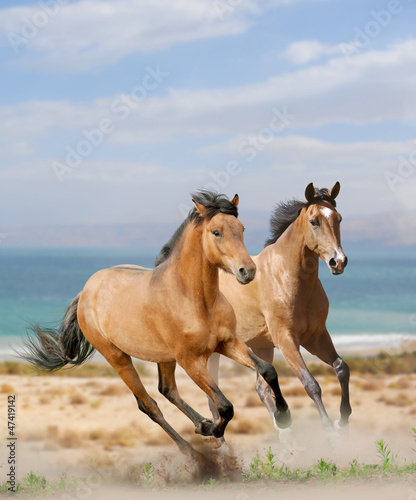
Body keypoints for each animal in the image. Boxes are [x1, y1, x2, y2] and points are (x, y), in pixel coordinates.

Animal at [21, 190, 290, 472]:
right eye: (216, 232)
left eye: (241, 228)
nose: (247, 271)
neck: (196, 299)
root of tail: (86, 291)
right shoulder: (191, 361)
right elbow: (226, 406)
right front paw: (213, 431)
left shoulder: (228, 343)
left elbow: (268, 371)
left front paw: (283, 416)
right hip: (118, 358)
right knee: (149, 405)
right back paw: (196, 454)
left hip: (164, 357)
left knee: (167, 390)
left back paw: (202, 425)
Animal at [208, 182, 352, 440]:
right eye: (314, 221)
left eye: (338, 218)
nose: (338, 262)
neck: (288, 276)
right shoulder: (286, 339)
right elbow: (310, 384)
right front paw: (328, 429)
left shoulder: (315, 336)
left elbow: (341, 368)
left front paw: (343, 420)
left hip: (261, 346)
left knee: (261, 388)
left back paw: (285, 433)